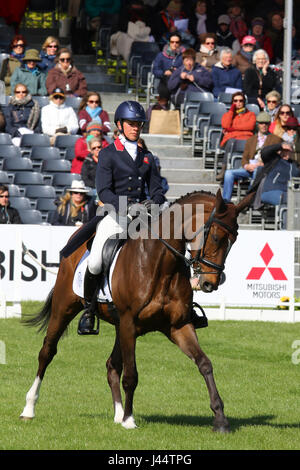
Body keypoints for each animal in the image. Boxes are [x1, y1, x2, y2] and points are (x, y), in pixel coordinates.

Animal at [19, 189, 253, 432]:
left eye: (234, 240)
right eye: (215, 237)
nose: (209, 283)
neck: (162, 265)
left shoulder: (177, 325)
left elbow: (205, 364)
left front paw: (220, 419)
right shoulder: (130, 323)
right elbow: (131, 375)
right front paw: (130, 420)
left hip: (119, 326)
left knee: (112, 365)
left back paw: (118, 414)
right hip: (65, 307)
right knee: (47, 352)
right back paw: (29, 408)